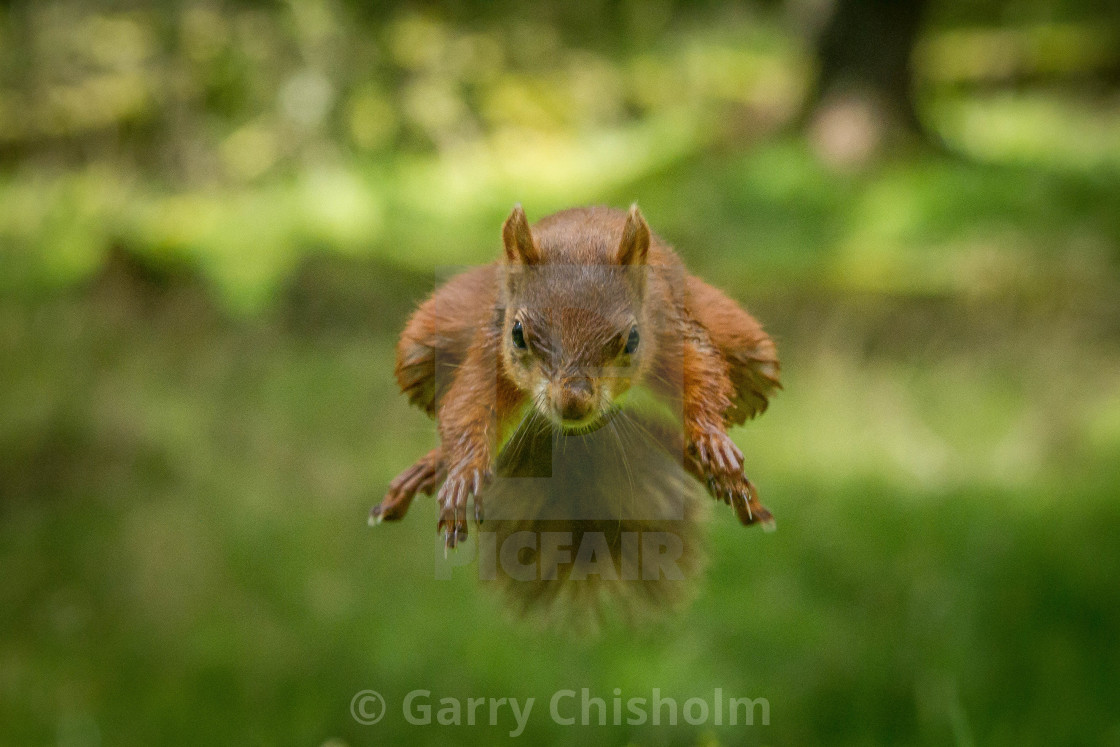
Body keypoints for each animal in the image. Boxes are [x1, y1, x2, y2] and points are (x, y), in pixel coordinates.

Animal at [371, 202, 784, 559]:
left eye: (633, 339)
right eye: (517, 334)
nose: (573, 402)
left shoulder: (667, 323)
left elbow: (701, 370)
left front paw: (712, 438)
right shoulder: (492, 338)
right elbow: (469, 403)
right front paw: (462, 473)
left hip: (748, 351)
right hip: (424, 341)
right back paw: (431, 465)